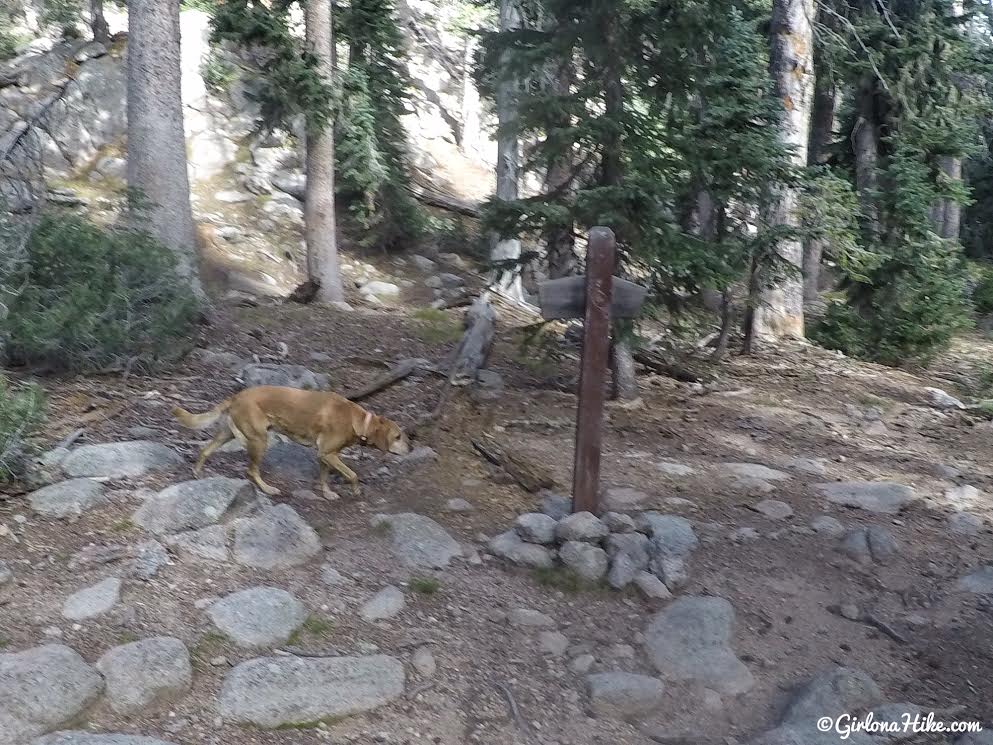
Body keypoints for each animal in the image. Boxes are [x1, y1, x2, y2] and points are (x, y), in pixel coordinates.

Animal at [174, 386, 410, 496]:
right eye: (397, 436)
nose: (411, 448)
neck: (360, 422)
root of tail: (237, 396)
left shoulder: (324, 455)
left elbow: (324, 476)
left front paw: (327, 493)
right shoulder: (328, 453)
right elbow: (352, 474)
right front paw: (355, 491)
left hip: (227, 434)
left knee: (205, 450)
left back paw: (197, 472)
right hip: (259, 440)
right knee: (251, 470)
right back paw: (268, 489)